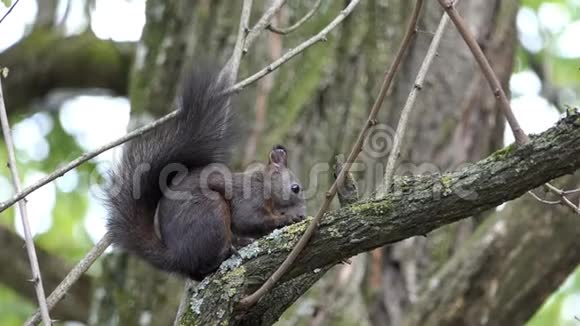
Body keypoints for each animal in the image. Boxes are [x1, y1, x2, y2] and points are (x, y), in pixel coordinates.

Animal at [105, 66, 308, 280]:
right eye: (295, 188)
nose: (303, 213)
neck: (264, 185)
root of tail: (178, 257)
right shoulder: (249, 198)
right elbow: (249, 220)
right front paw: (286, 219)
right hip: (211, 212)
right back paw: (228, 252)